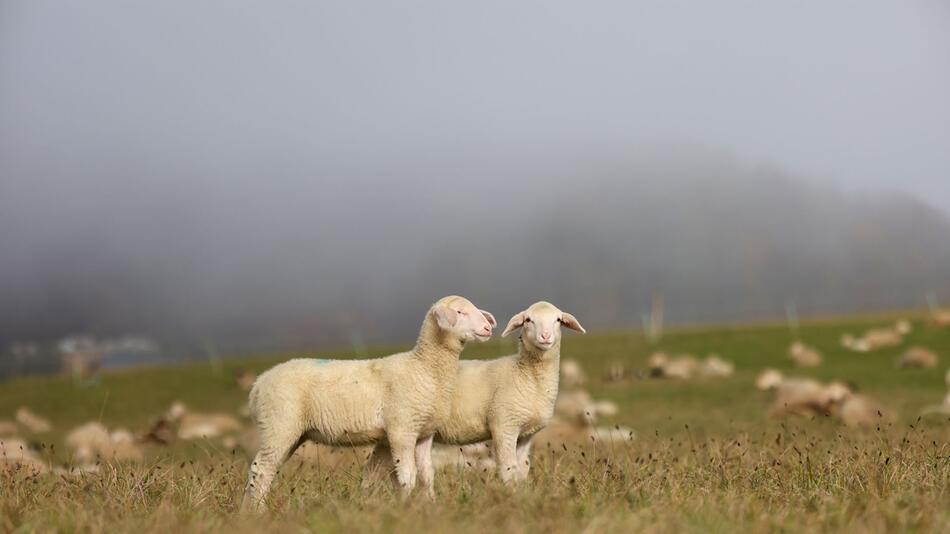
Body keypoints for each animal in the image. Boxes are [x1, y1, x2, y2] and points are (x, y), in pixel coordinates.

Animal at [244, 298, 498, 510]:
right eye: (460, 312)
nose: (488, 328)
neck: (423, 368)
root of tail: (258, 384)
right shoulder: (402, 430)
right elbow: (407, 476)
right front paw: (404, 507)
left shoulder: (424, 433)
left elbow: (426, 475)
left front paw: (430, 505)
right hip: (279, 425)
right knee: (261, 470)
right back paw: (257, 511)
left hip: (290, 433)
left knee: (265, 470)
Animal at [364, 304, 588, 488]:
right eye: (528, 320)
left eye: (558, 320)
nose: (545, 336)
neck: (526, 375)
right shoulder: (504, 426)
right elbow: (508, 470)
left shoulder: (526, 434)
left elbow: (522, 470)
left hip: (389, 436)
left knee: (372, 471)